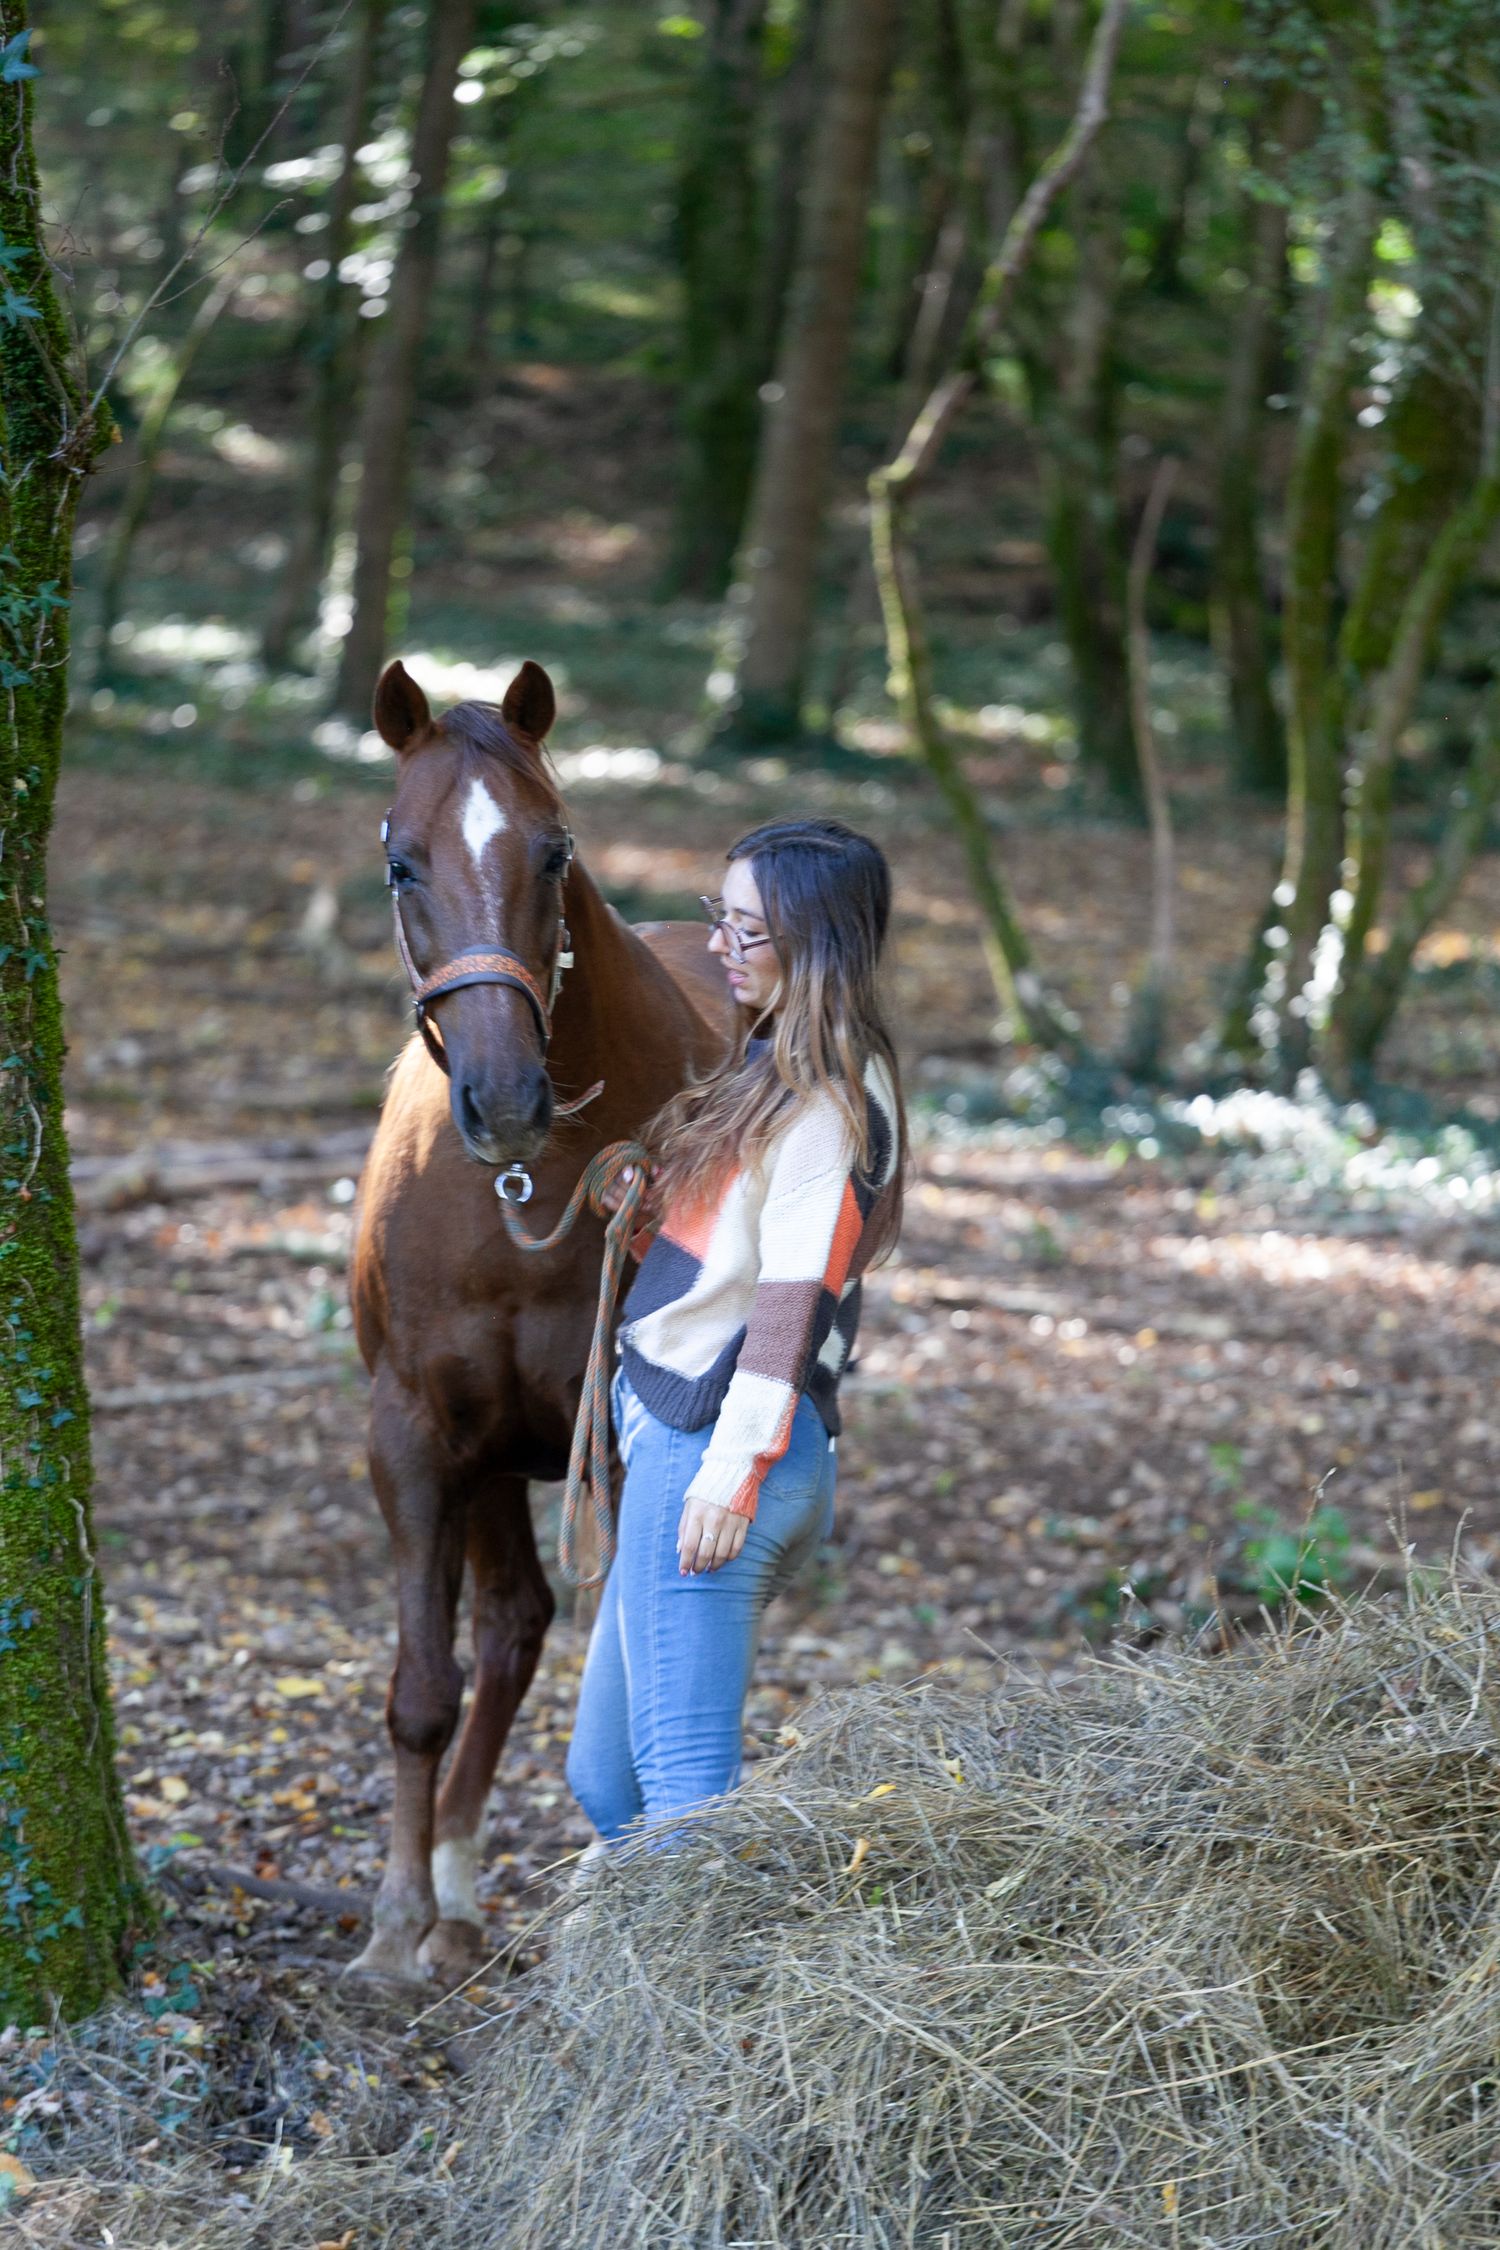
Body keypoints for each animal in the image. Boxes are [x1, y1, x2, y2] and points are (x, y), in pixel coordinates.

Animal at [346, 656, 730, 1983]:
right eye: (402, 861)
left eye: (555, 850)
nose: (505, 1097)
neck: (526, 1186)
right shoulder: (415, 1436)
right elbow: (423, 1686)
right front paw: (395, 1921)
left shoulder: (617, 1434)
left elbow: (626, 1662)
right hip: (494, 1456)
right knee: (511, 1630)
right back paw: (455, 1891)